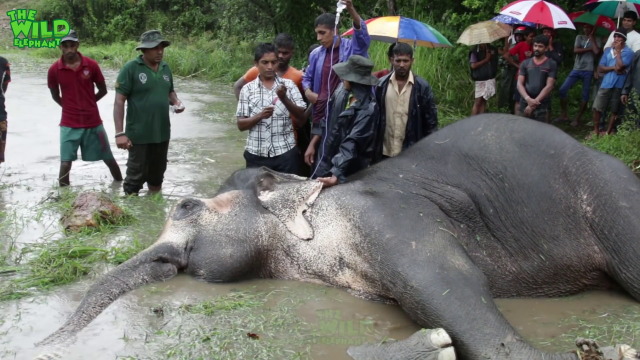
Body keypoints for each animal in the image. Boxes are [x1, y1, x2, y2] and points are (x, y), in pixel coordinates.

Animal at [38, 113, 640, 360]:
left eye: (185, 206)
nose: (44, 343)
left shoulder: (386, 220)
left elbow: (468, 311)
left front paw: (605, 350)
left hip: (613, 196)